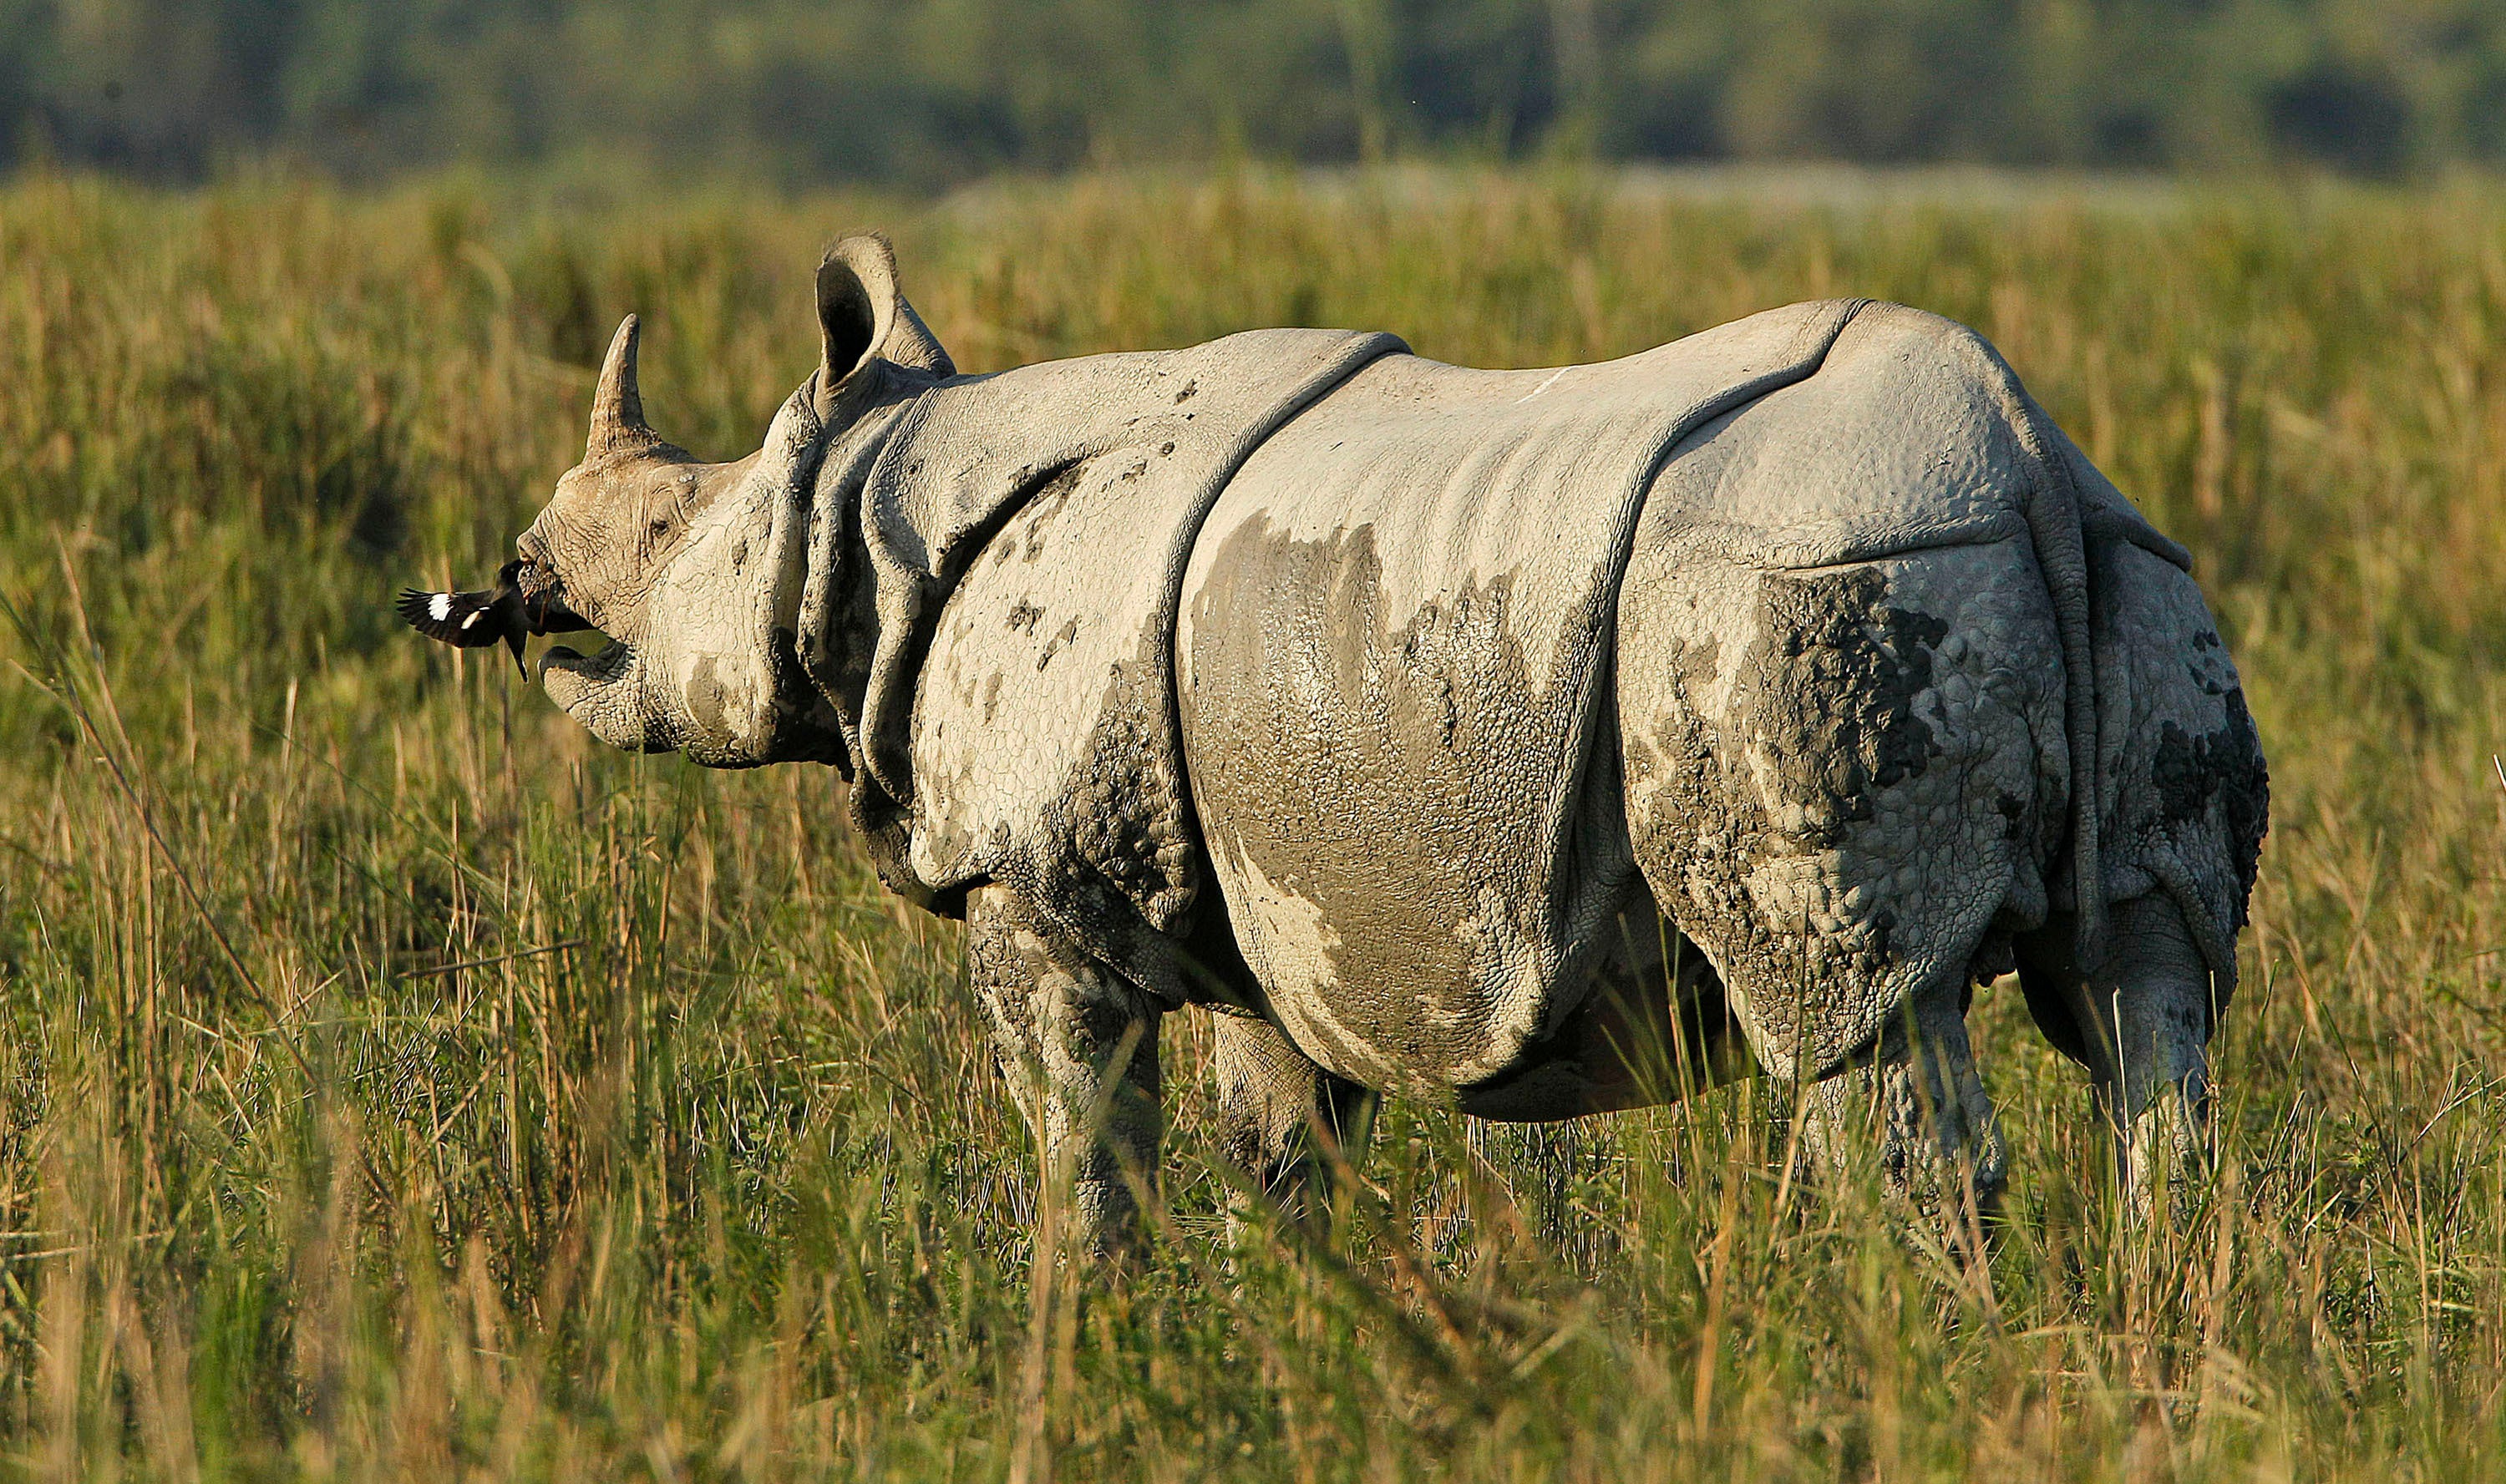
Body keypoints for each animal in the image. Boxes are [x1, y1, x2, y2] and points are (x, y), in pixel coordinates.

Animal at [485, 234, 2266, 1257]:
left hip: (1813, 586)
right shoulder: (1261, 894)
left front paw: (1091, 1332)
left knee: (1852, 1021)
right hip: (2131, 576)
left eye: (669, 524)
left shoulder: (1034, 884)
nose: (512, 572)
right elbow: (1276, 1152)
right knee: (2148, 1003)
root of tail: (2024, 458)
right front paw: (1302, 1339)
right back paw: (2150, 1329)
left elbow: (1083, 1137)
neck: (875, 494)